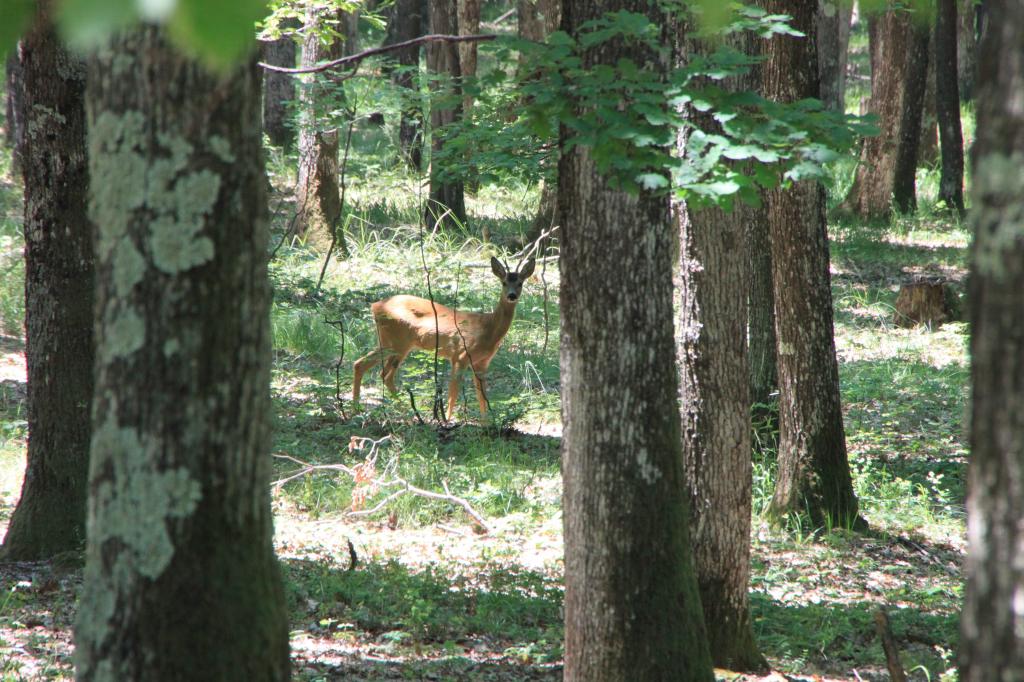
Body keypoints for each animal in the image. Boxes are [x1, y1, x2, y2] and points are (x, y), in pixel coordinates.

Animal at [350, 254, 536, 417]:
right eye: (504, 283)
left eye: (520, 283)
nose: (511, 295)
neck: (488, 328)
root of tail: (375, 306)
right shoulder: (460, 355)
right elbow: (453, 394)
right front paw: (447, 420)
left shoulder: (482, 363)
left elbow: (482, 397)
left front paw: (487, 425)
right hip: (398, 342)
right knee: (381, 372)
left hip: (391, 342)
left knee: (367, 367)